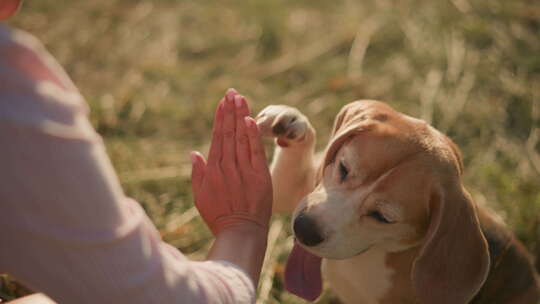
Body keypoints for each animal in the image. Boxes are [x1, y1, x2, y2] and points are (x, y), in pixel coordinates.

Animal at [254, 101, 540, 304]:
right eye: (344, 168)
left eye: (383, 217)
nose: (304, 229)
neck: (372, 253)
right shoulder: (300, 189)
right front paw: (290, 120)